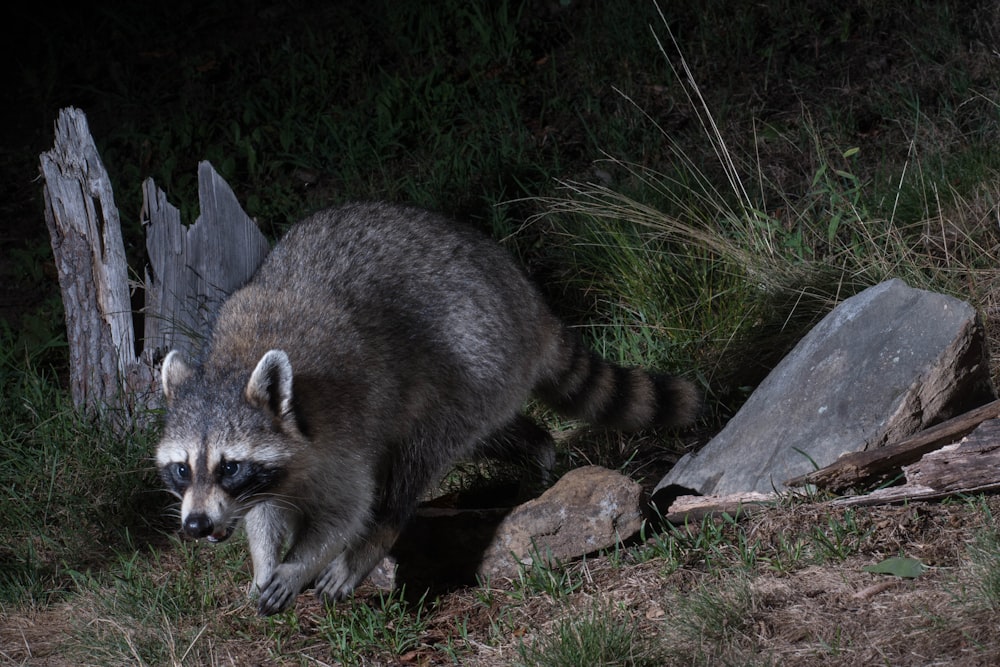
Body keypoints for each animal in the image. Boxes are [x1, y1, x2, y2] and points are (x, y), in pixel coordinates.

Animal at [158, 202, 704, 616]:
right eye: (182, 469)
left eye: (229, 466)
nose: (196, 526)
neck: (233, 366)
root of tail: (526, 300)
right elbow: (266, 510)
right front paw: (265, 559)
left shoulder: (345, 424)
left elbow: (347, 509)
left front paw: (301, 563)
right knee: (491, 432)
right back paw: (535, 443)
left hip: (477, 358)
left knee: (422, 451)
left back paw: (381, 532)